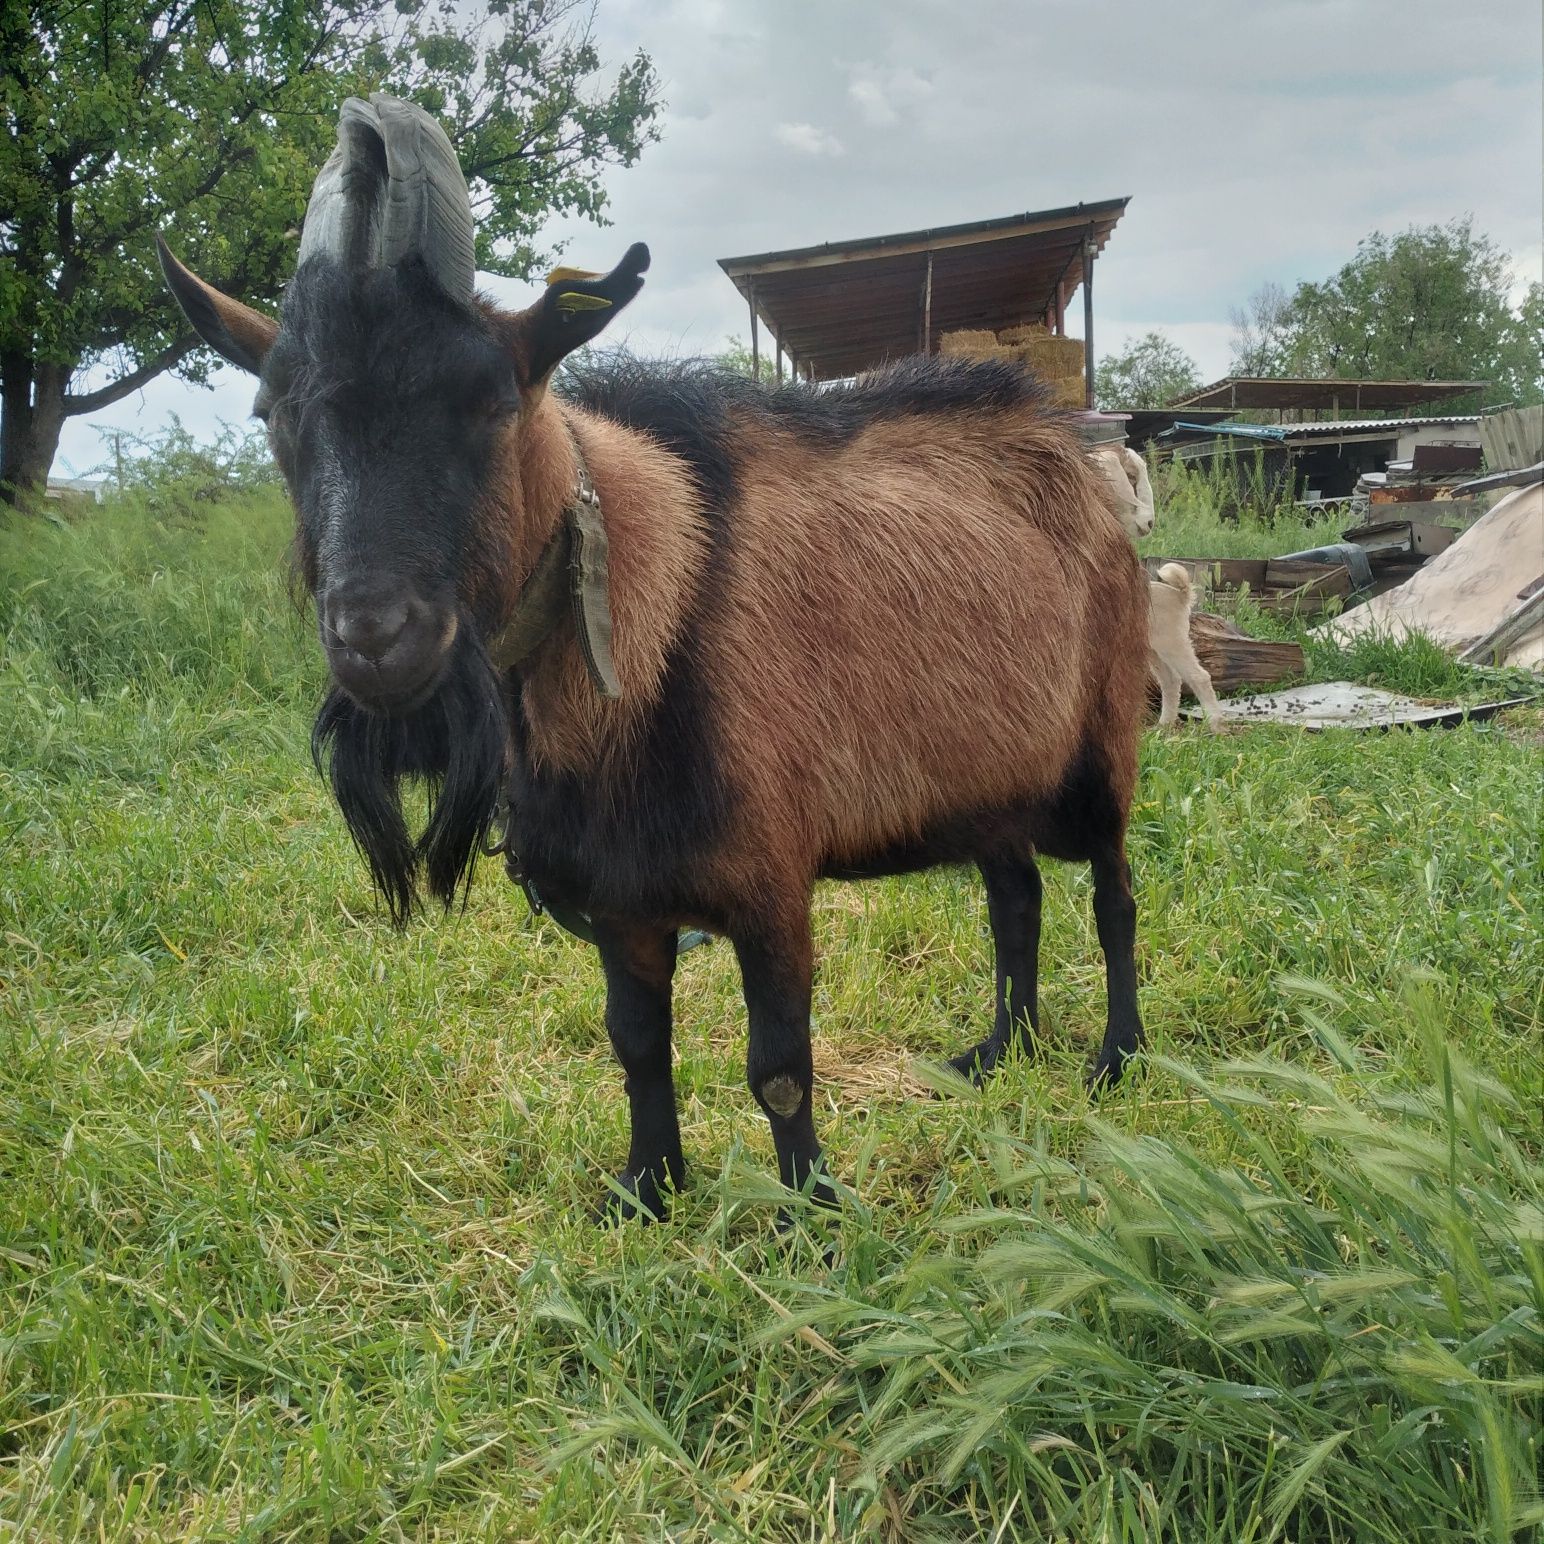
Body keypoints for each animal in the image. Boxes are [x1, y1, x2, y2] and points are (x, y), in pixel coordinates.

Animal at [159, 96, 1148, 1216]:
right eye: (272, 412)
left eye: (492, 400)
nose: (378, 641)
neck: (659, 612)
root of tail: (1081, 457)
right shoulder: (621, 897)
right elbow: (636, 1044)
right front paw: (646, 1190)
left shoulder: (770, 878)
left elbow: (778, 1063)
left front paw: (811, 1211)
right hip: (984, 776)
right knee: (1013, 895)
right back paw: (997, 1049)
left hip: (1099, 752)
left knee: (1112, 898)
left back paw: (1114, 1057)